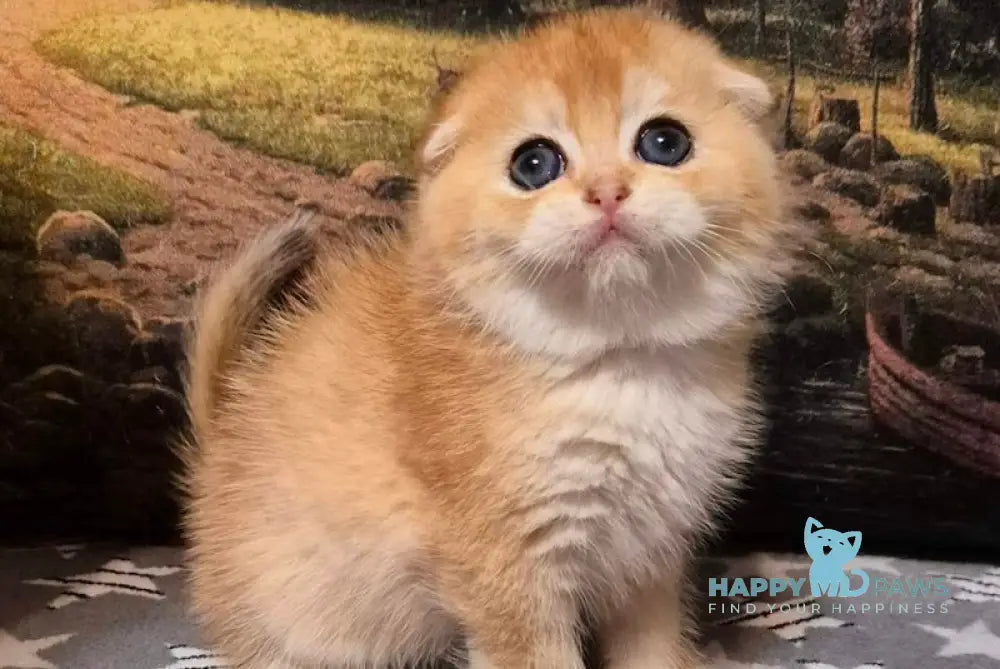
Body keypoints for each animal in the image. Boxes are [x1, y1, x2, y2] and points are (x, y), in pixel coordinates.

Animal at [180, 6, 788, 668]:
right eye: (534, 164)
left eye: (664, 142)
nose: (606, 191)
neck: (615, 362)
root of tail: (218, 453)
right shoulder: (508, 567)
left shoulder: (650, 553)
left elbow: (652, 647)